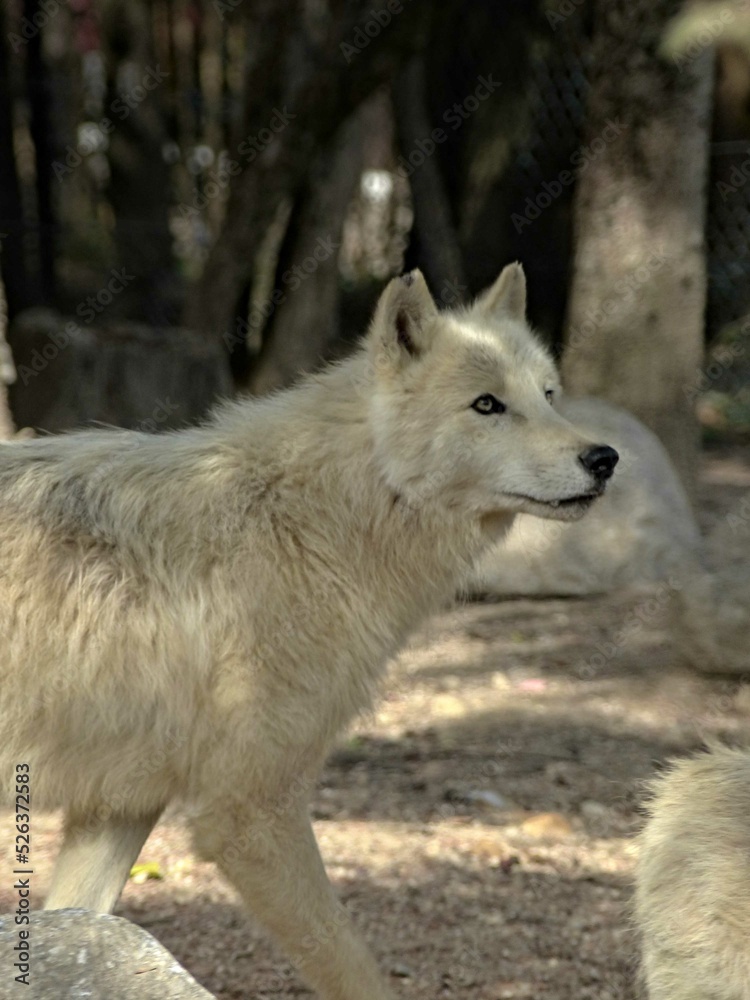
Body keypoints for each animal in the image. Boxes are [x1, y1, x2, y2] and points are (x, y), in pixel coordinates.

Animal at [0, 266, 620, 1000]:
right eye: (487, 405)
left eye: (548, 395)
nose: (604, 458)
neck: (309, 520)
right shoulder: (250, 812)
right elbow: (356, 969)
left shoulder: (120, 804)